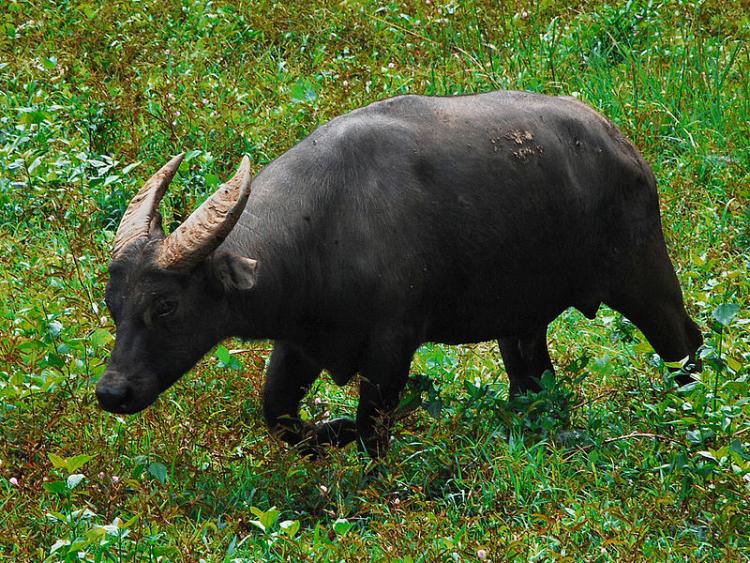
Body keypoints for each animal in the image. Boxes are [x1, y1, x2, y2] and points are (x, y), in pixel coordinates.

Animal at [95, 89, 704, 458]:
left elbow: (370, 429)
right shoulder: (298, 344)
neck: (326, 227)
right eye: (113, 305)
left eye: (166, 306)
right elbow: (280, 417)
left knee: (685, 340)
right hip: (521, 320)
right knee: (532, 377)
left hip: (644, 276)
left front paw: (349, 438)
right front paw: (327, 431)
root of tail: (623, 147)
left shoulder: (393, 348)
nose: (111, 392)